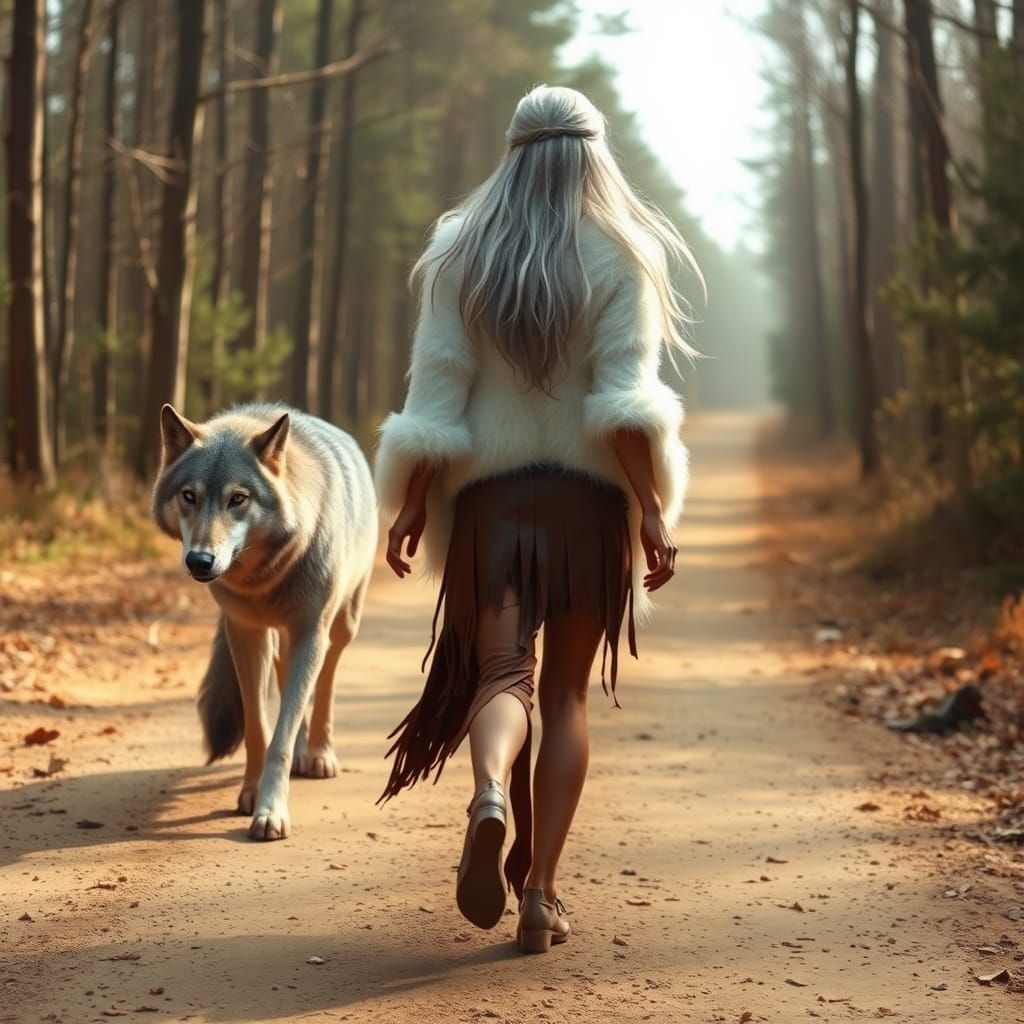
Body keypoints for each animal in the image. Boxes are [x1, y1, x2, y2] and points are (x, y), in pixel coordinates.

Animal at [152, 402, 378, 840]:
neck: (262, 578)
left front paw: (271, 811)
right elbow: (259, 729)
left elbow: (281, 739)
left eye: (237, 499)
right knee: (290, 681)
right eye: (189, 496)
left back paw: (319, 754)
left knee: (325, 684)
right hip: (280, 640)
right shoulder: (246, 633)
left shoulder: (311, 632)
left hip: (340, 627)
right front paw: (252, 794)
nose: (200, 561)